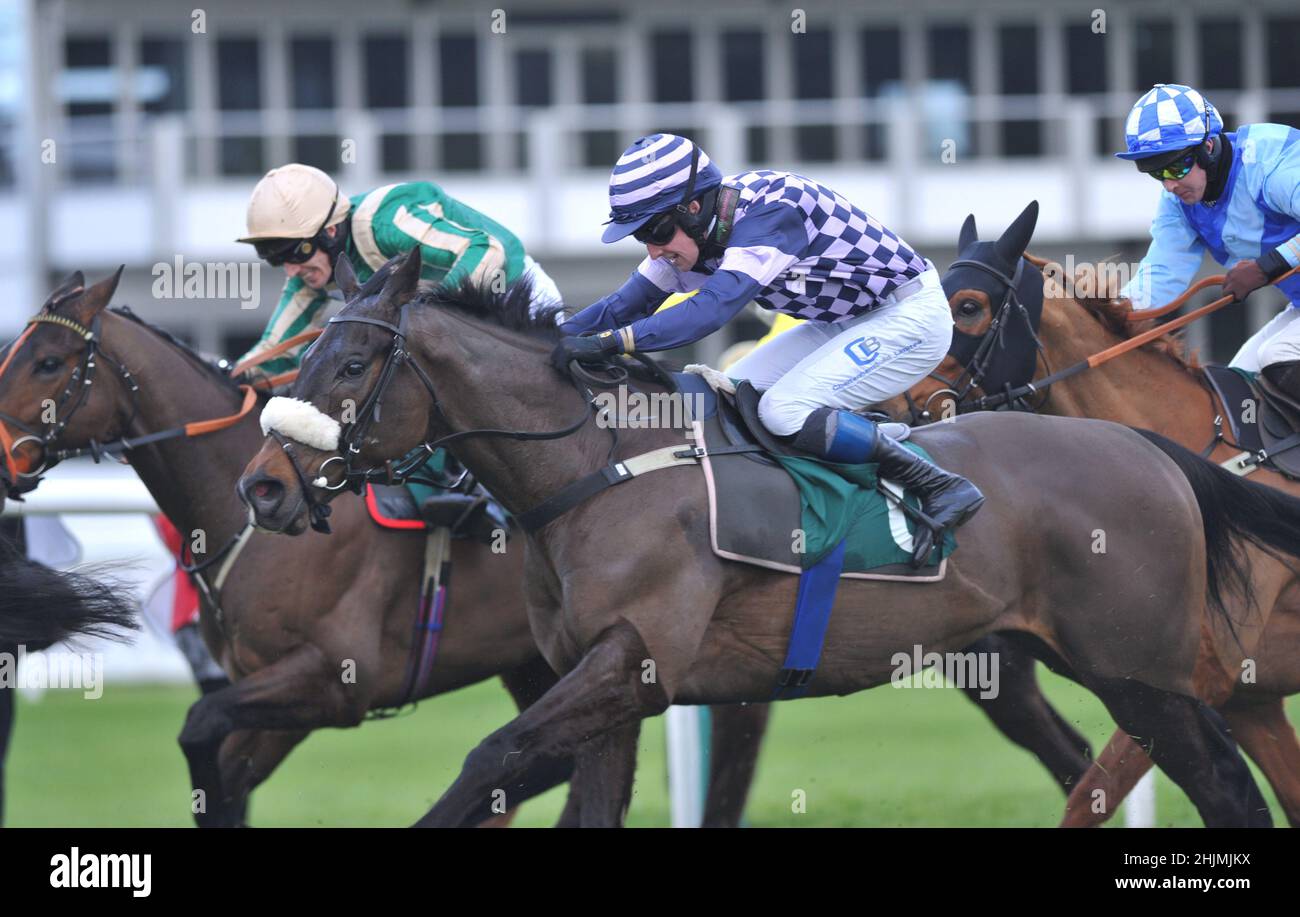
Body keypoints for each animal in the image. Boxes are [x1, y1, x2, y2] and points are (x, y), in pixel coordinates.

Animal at [0, 267, 769, 827]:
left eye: (48, 361)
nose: (263, 492)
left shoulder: (331, 679)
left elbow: (200, 726)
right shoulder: (275, 694)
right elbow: (222, 768)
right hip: (539, 662)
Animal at [244, 247, 1300, 827]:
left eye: (350, 363)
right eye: (307, 354)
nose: (261, 485)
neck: (599, 469)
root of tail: (1149, 448)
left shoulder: (632, 661)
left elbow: (490, 757)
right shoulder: (608, 685)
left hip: (1140, 670)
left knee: (1224, 790)